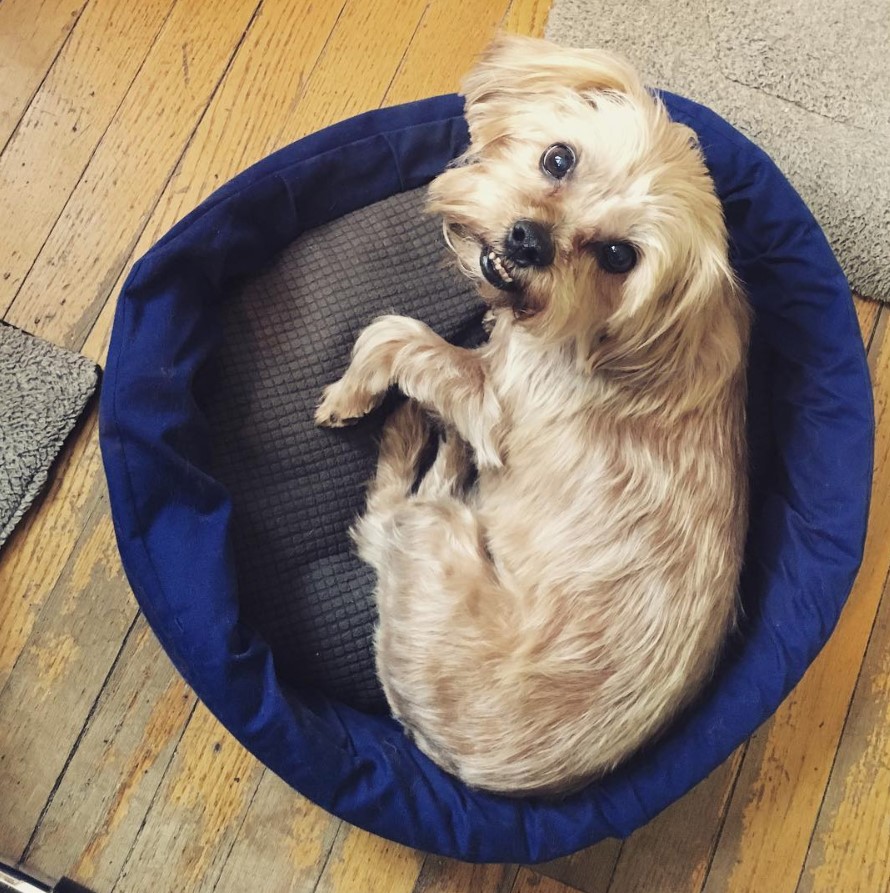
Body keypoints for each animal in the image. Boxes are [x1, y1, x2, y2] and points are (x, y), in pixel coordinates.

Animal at [316, 34, 744, 796]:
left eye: (617, 255)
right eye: (558, 159)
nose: (528, 241)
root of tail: (462, 767)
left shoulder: (494, 408)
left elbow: (392, 332)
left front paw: (352, 392)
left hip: (437, 539)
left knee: (386, 518)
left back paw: (411, 434)